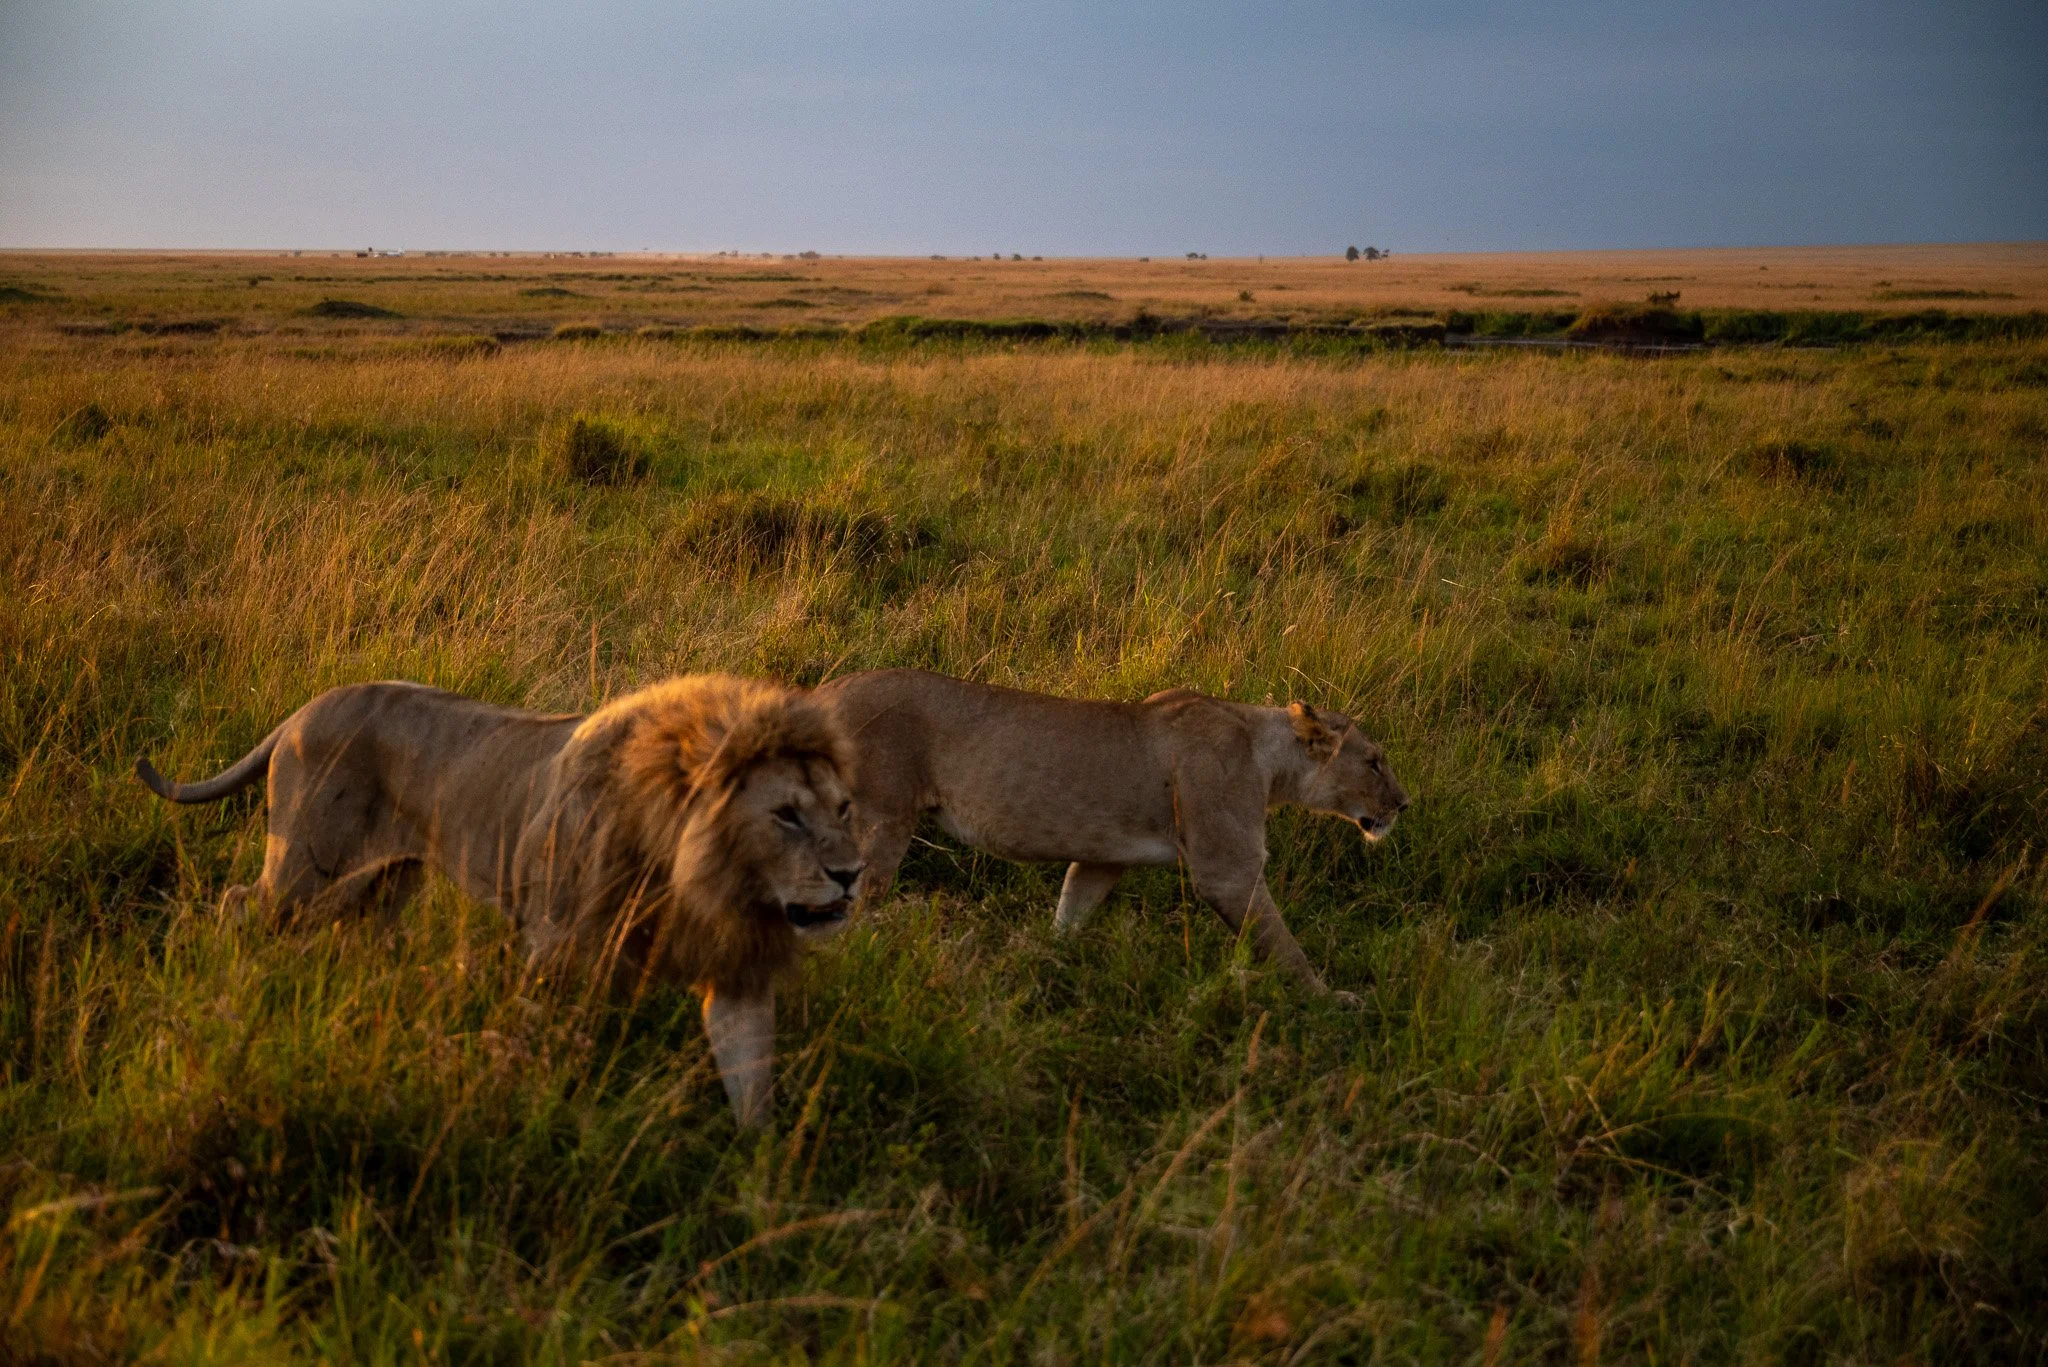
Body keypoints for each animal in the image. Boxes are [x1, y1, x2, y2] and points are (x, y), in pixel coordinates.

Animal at [137, 675, 864, 1127]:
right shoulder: (558, 949)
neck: (698, 871)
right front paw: (538, 1117)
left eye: (843, 808)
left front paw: (760, 1191)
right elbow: (540, 1051)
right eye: (786, 815)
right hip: (306, 875)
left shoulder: (737, 972)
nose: (852, 873)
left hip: (381, 883)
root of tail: (301, 710)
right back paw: (232, 987)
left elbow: (752, 1083)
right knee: (237, 905)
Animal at [816, 669, 1409, 1000]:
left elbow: (1072, 908)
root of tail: (822, 693)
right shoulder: (1227, 869)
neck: (1265, 753)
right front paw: (1330, 1000)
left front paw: (1044, 964)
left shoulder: (1103, 859)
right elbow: (1283, 945)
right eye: (1374, 762)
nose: (1404, 804)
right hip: (879, 822)